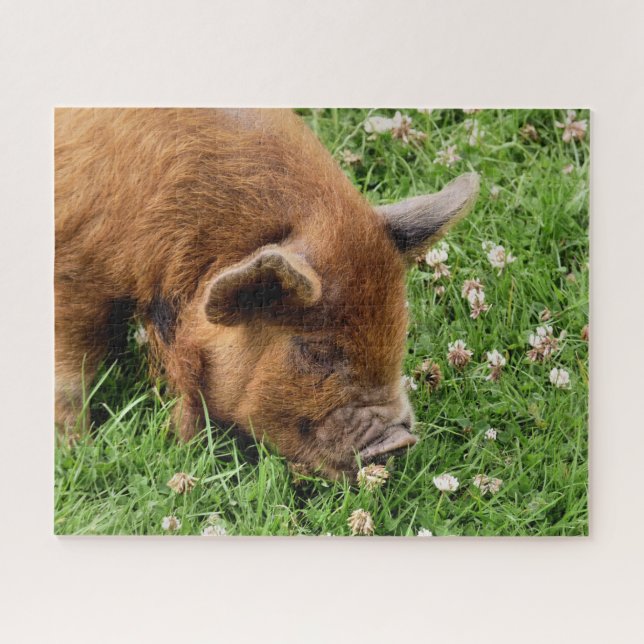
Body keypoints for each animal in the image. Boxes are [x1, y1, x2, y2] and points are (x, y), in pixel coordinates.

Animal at [55, 108, 479, 479]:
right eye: (316, 350)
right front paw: (77, 447)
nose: (400, 440)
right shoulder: (74, 271)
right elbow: (71, 374)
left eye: (399, 335)